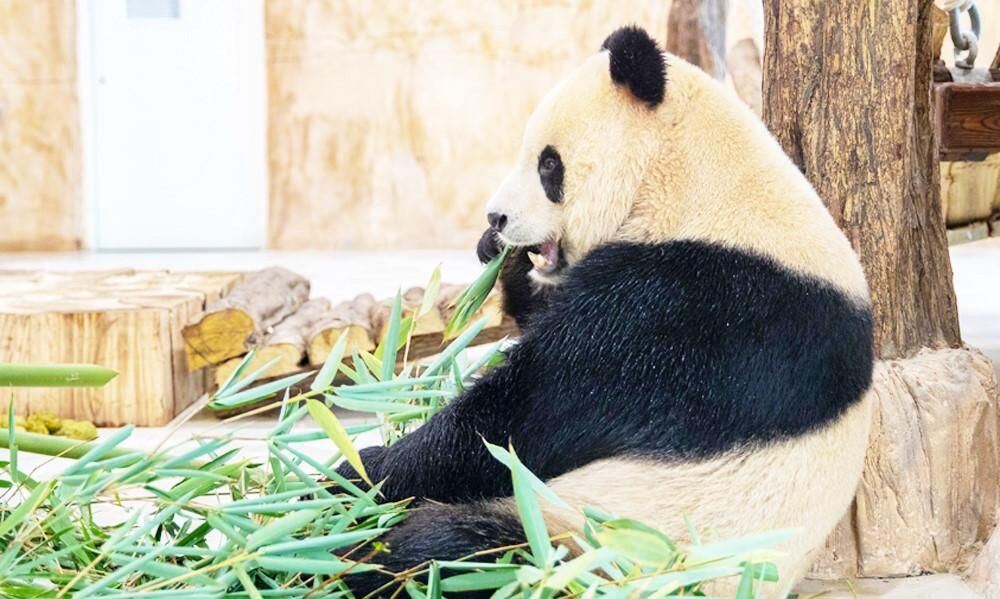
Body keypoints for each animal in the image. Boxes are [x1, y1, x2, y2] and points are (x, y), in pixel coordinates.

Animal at [337, 25, 874, 599]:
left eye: (548, 164)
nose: (496, 217)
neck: (696, 185)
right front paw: (501, 259)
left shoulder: (691, 309)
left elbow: (522, 418)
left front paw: (360, 469)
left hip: (591, 547)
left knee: (455, 552)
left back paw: (349, 556)